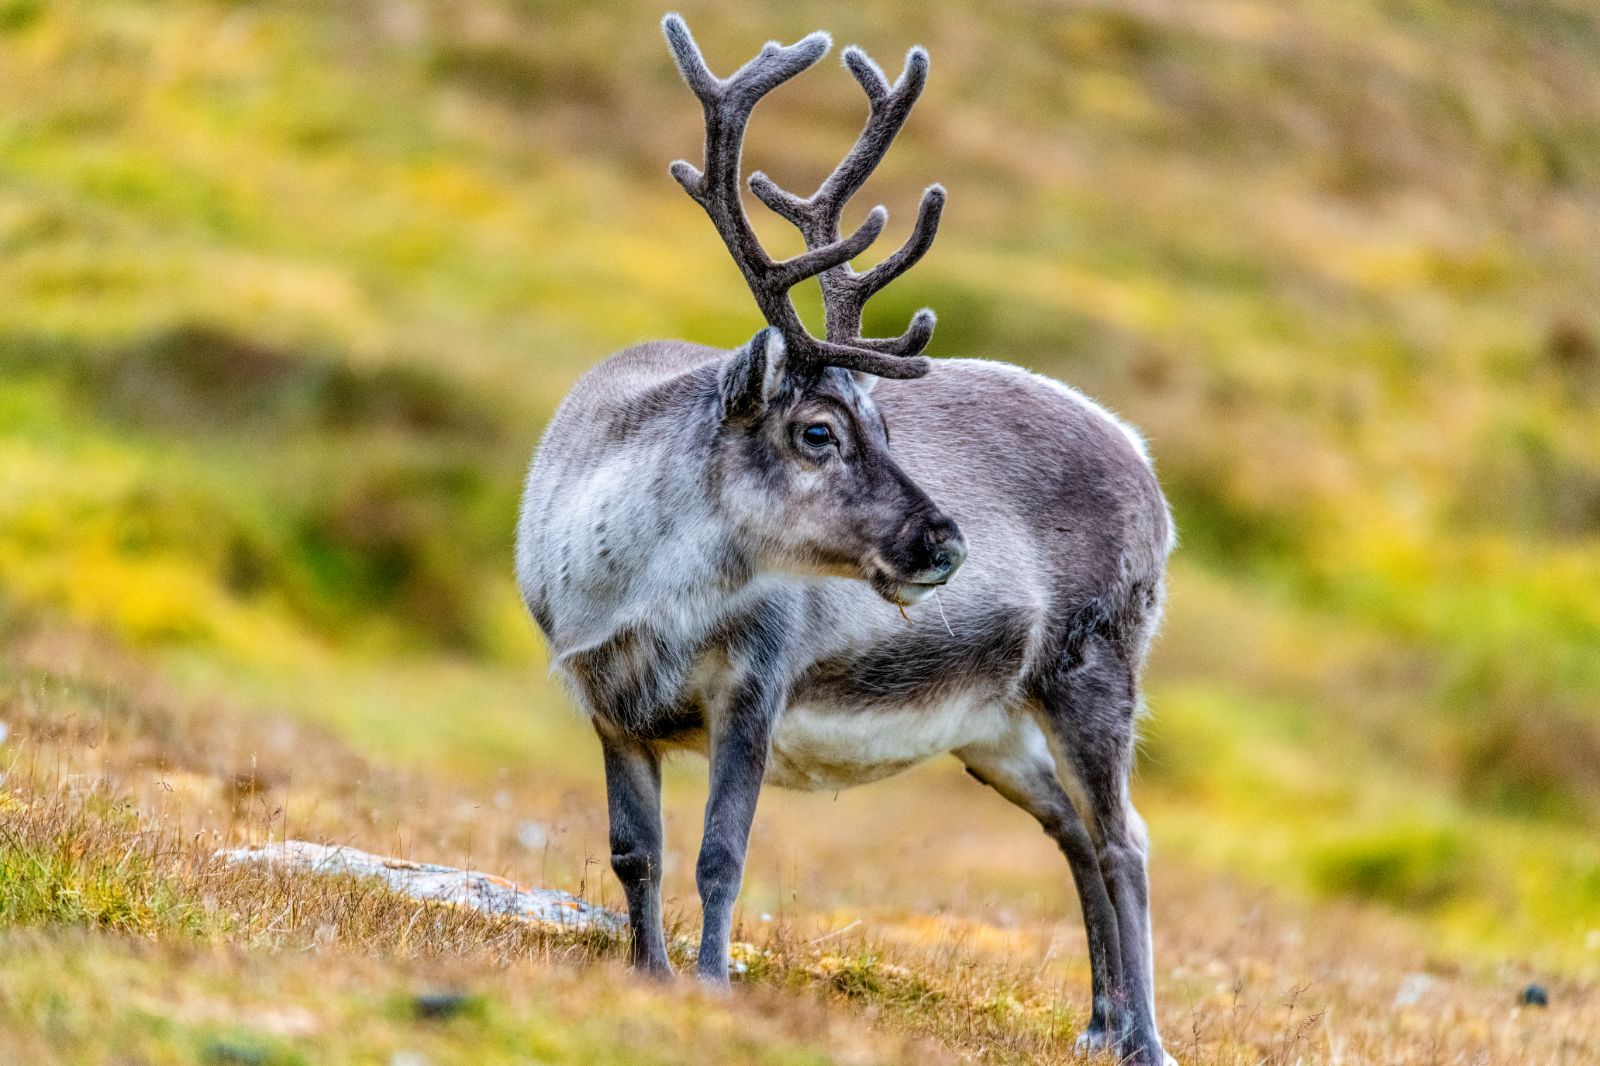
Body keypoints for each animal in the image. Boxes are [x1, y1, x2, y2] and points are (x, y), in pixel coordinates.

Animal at [514, 15, 1176, 1065]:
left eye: (889, 425)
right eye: (820, 430)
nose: (945, 540)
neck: (639, 591)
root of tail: (1147, 465)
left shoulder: (755, 684)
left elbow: (719, 853)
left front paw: (709, 986)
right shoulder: (608, 703)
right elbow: (634, 854)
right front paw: (647, 976)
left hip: (1095, 670)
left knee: (1125, 840)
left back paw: (1146, 1036)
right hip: (992, 724)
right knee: (1073, 832)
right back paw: (1098, 1024)